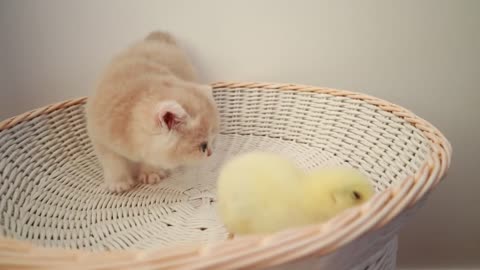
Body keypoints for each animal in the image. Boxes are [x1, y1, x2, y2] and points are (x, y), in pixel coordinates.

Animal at [86, 31, 219, 192]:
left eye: (211, 140)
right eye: (203, 146)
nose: (210, 153)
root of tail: (158, 40)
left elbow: (152, 160)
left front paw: (151, 173)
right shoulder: (101, 140)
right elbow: (113, 163)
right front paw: (119, 182)